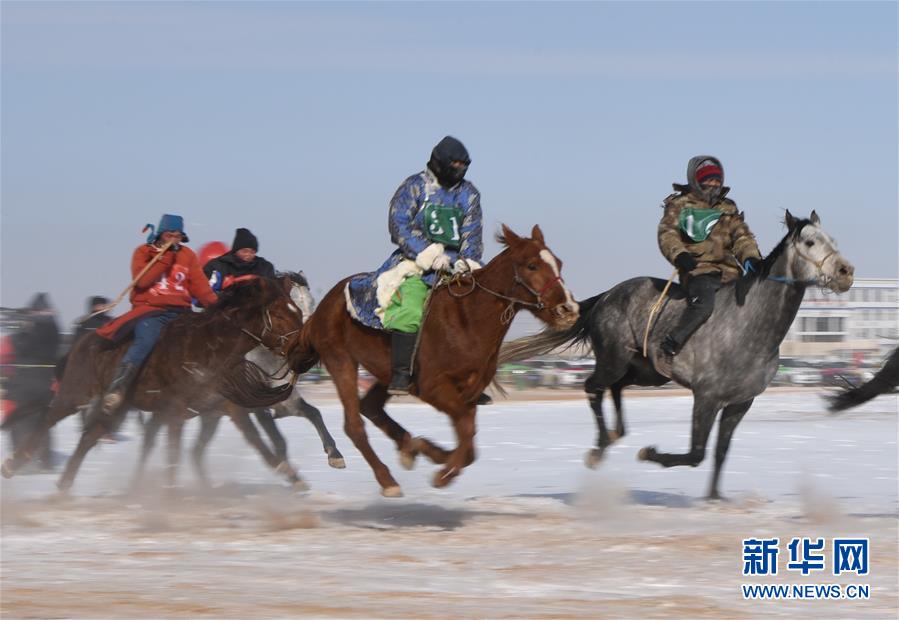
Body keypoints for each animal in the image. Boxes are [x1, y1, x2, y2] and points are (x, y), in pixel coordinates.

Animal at [0, 278, 306, 492]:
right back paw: (15, 463)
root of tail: (82, 341)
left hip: (118, 405)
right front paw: (167, 495)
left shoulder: (225, 406)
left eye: (297, 311)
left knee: (89, 435)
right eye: (280, 314)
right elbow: (173, 451)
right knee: (48, 418)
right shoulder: (175, 408)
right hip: (77, 392)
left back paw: (63, 484)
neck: (209, 346)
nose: (301, 347)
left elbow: (258, 442)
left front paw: (292, 476)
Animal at [284, 225, 580, 496]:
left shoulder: (468, 392)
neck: (467, 319)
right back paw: (388, 480)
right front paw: (444, 473)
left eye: (558, 263)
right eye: (532, 265)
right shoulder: (434, 388)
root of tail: (322, 307)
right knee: (354, 425)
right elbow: (467, 430)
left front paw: (432, 453)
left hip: (386, 372)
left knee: (370, 406)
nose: (568, 309)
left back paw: (409, 447)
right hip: (341, 361)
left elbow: (469, 440)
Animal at [502, 213, 856, 498]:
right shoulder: (707, 397)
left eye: (833, 240)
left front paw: (714, 498)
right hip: (614, 359)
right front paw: (649, 453)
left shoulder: (740, 402)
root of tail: (607, 295)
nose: (846, 272)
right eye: (810, 241)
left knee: (613, 388)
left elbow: (720, 452)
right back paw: (600, 447)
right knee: (593, 387)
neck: (751, 325)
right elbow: (697, 453)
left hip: (645, 371)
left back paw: (615, 435)